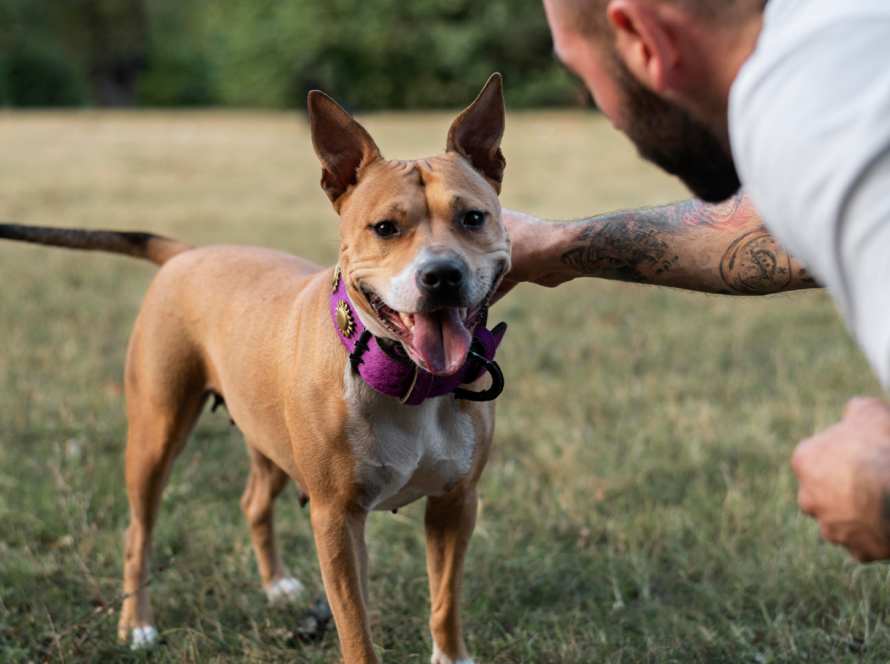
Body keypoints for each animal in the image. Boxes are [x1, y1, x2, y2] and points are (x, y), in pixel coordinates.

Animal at [0, 74, 510, 664]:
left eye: (473, 218)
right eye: (385, 227)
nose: (442, 275)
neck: (403, 376)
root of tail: (187, 252)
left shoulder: (455, 503)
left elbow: (445, 603)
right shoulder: (337, 519)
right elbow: (356, 628)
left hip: (266, 435)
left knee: (254, 503)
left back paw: (274, 584)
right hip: (155, 434)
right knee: (137, 533)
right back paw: (138, 624)